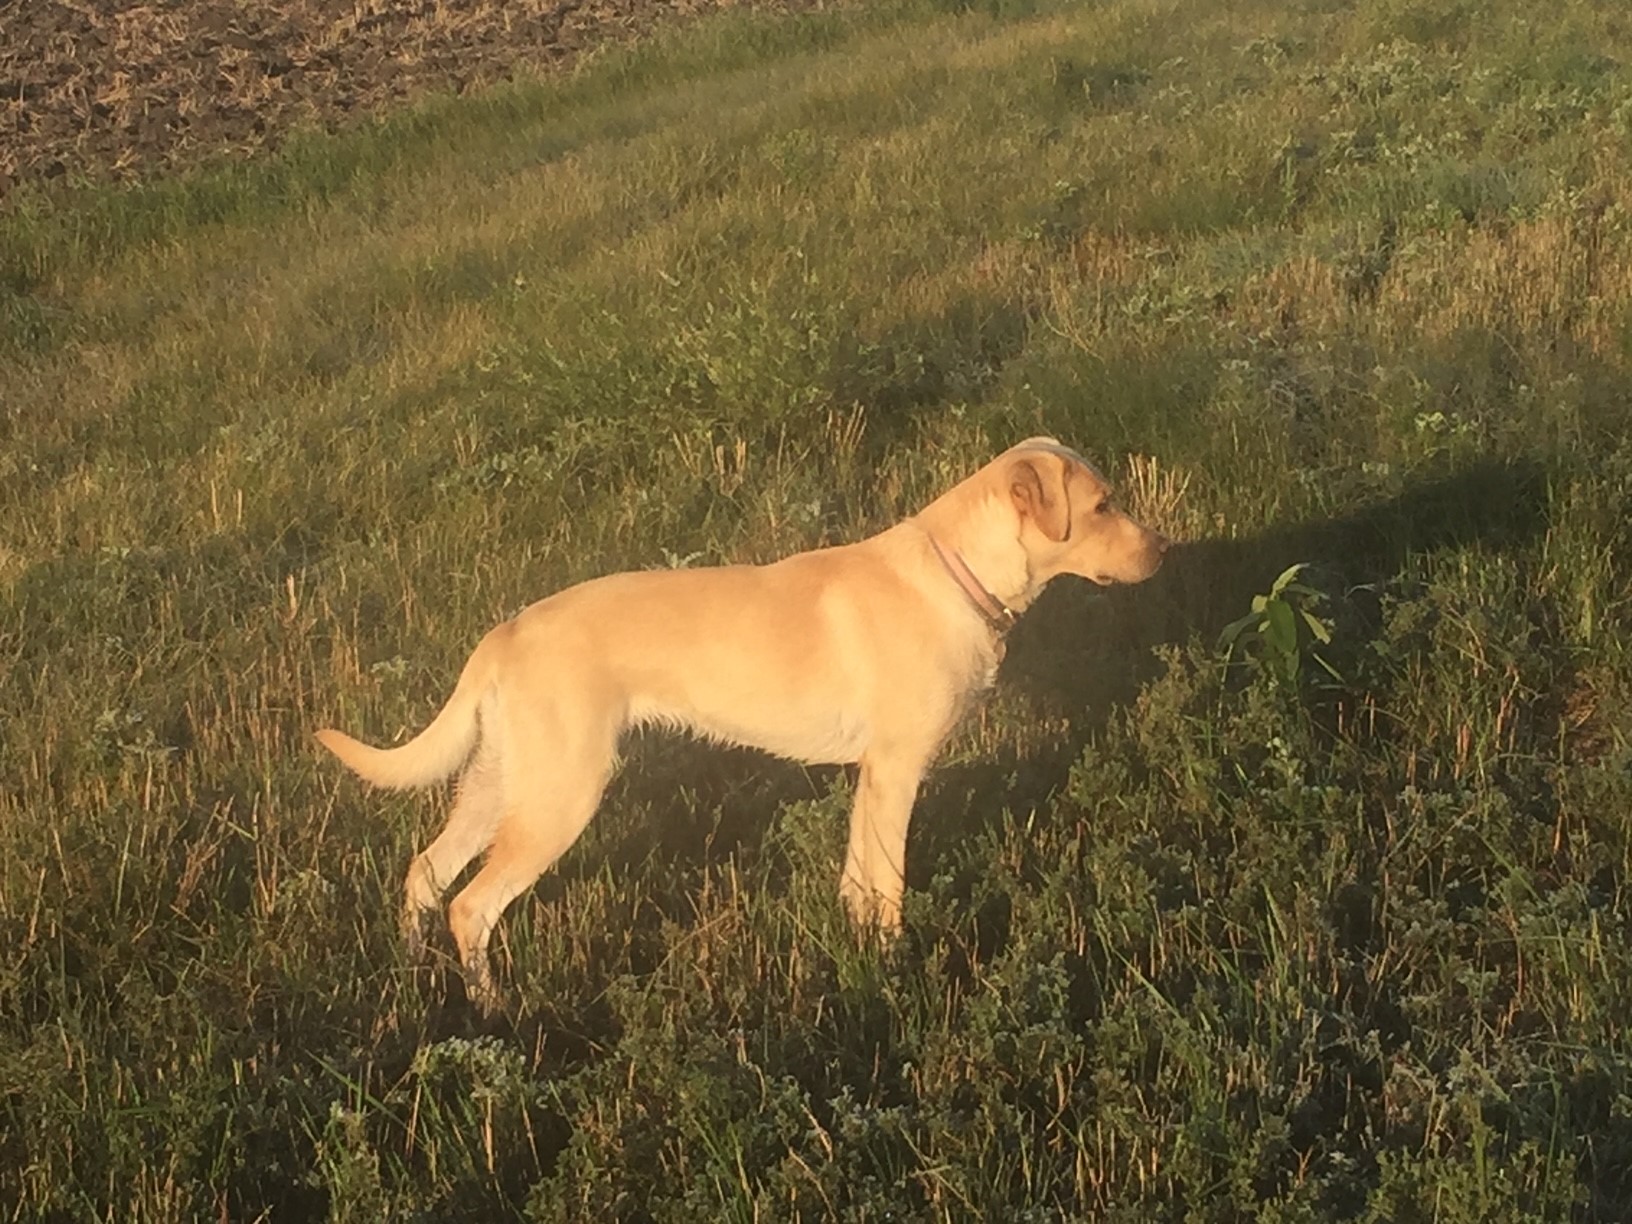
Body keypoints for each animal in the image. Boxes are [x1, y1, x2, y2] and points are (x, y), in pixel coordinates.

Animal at [311, 437, 1168, 1011]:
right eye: (1102, 507)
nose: (1163, 550)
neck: (959, 574)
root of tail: (504, 632)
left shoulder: (872, 777)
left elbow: (857, 882)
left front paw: (858, 959)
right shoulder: (898, 771)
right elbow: (889, 888)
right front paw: (893, 975)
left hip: (499, 785)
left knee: (425, 873)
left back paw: (417, 980)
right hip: (561, 797)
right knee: (471, 904)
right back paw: (495, 1012)